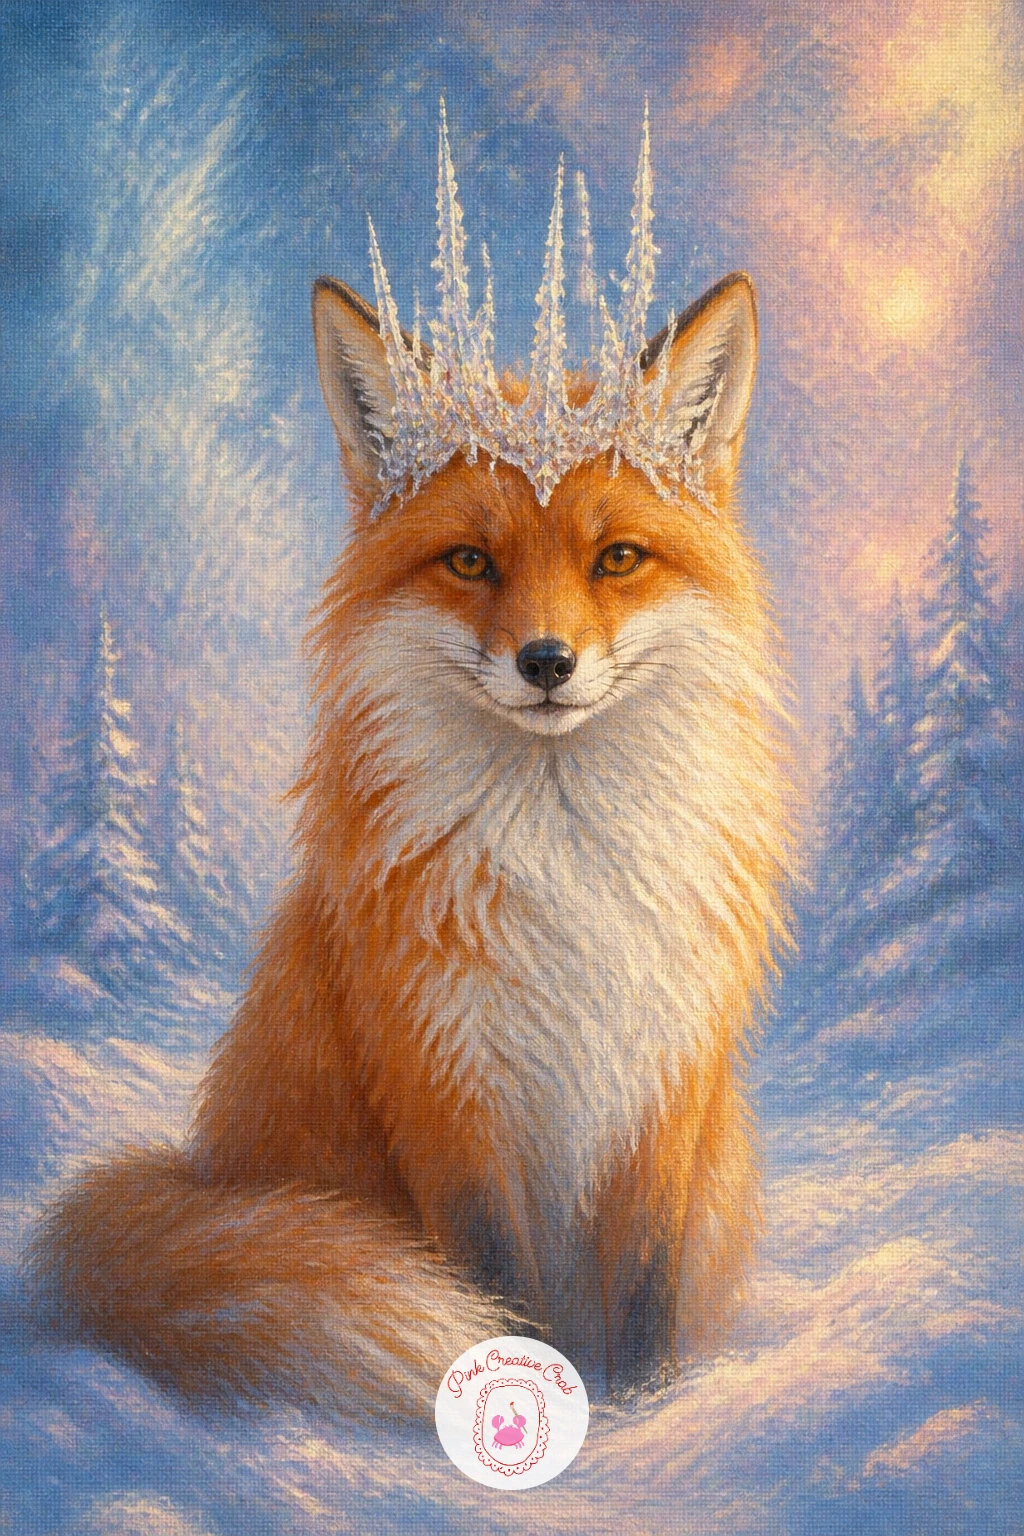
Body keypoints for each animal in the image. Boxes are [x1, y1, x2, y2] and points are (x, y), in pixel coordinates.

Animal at [28, 130, 789, 1423]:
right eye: (471, 561)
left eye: (616, 558)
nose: (546, 661)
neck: (562, 865)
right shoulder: (442, 1090)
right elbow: (498, 1285)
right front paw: (540, 1410)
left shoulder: (663, 1086)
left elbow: (646, 1292)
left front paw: (646, 1414)